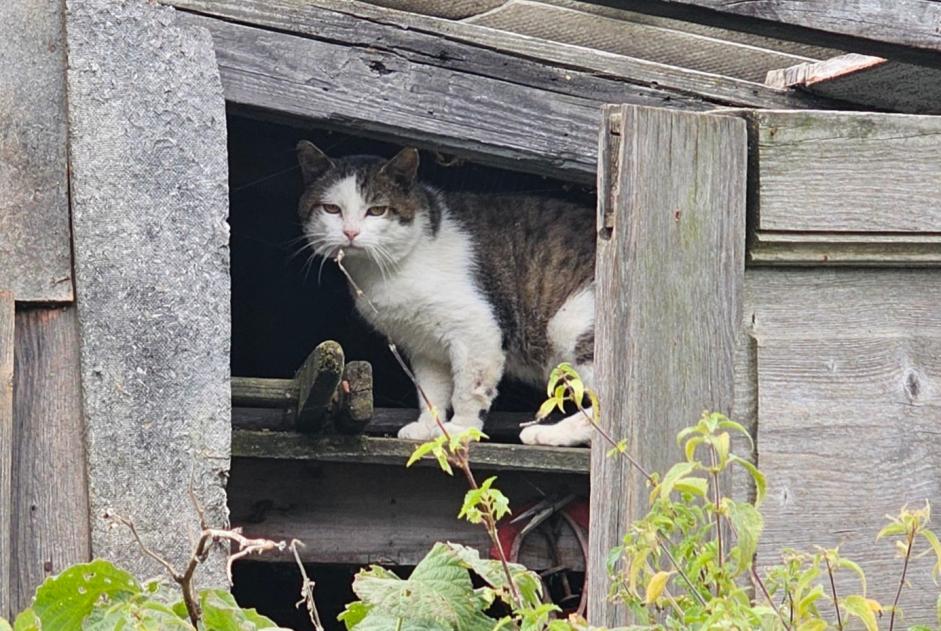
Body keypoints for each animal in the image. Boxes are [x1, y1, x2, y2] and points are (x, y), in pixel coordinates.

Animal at [298, 142, 596, 450]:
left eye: (377, 210)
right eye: (331, 209)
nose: (350, 232)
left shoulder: (477, 331)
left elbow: (469, 391)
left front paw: (460, 430)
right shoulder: (424, 347)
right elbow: (430, 391)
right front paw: (429, 428)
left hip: (570, 323)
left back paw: (551, 434)